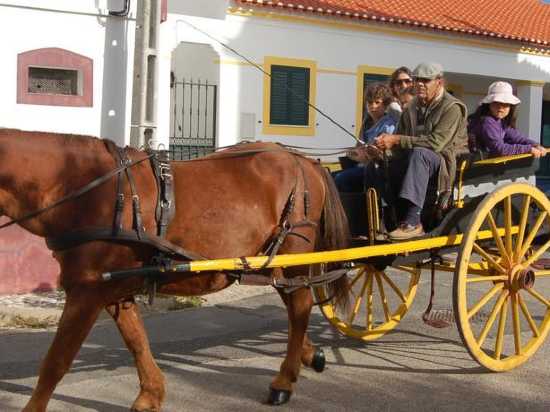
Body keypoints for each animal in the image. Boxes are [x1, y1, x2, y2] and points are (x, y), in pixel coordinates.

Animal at [0, 130, 352, 412]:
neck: (84, 187)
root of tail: (304, 161)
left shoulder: (86, 291)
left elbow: (56, 362)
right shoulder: (111, 289)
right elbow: (136, 339)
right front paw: (151, 394)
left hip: (292, 256)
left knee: (300, 308)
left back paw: (284, 380)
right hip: (273, 262)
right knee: (295, 307)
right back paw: (307, 355)